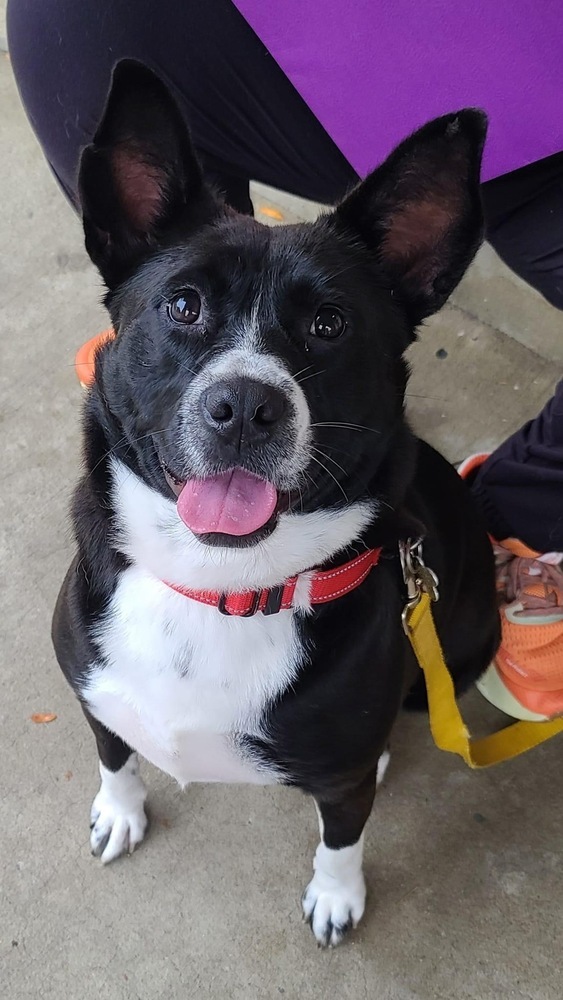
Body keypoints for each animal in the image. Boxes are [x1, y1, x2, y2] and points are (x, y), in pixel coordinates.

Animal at [54, 60, 498, 944]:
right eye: (181, 305)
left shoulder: (342, 781)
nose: (244, 407)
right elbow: (114, 749)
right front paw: (119, 809)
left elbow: (341, 834)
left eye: (329, 323)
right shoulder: (91, 690)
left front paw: (336, 896)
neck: (219, 588)